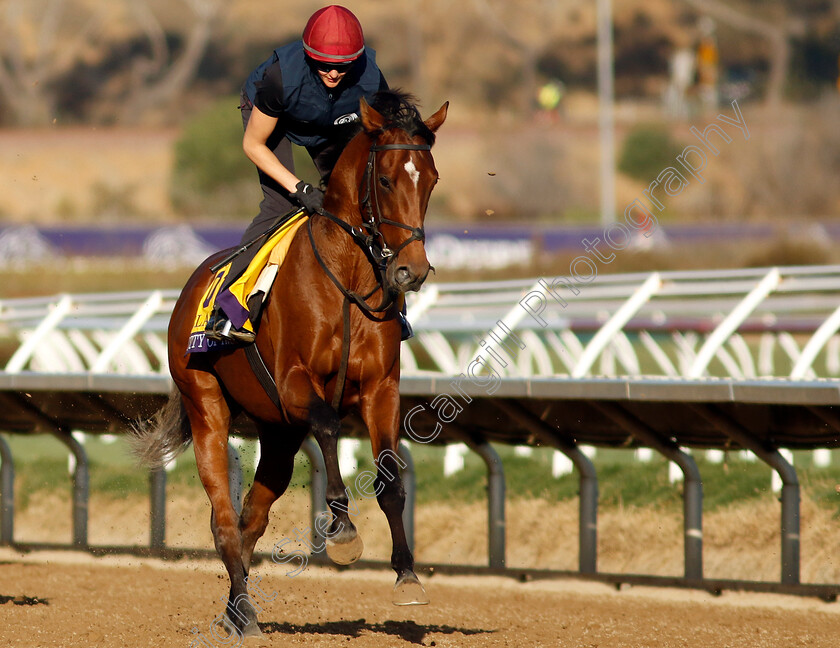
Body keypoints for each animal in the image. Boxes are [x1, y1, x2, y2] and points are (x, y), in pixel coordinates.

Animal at [131, 91, 446, 636]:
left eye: (430, 178)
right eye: (385, 179)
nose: (412, 270)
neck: (346, 278)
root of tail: (190, 288)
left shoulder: (381, 387)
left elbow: (389, 473)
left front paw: (407, 575)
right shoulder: (294, 383)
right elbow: (327, 424)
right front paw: (342, 530)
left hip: (276, 434)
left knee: (249, 518)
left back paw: (237, 611)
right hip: (207, 408)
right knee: (223, 518)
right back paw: (246, 611)